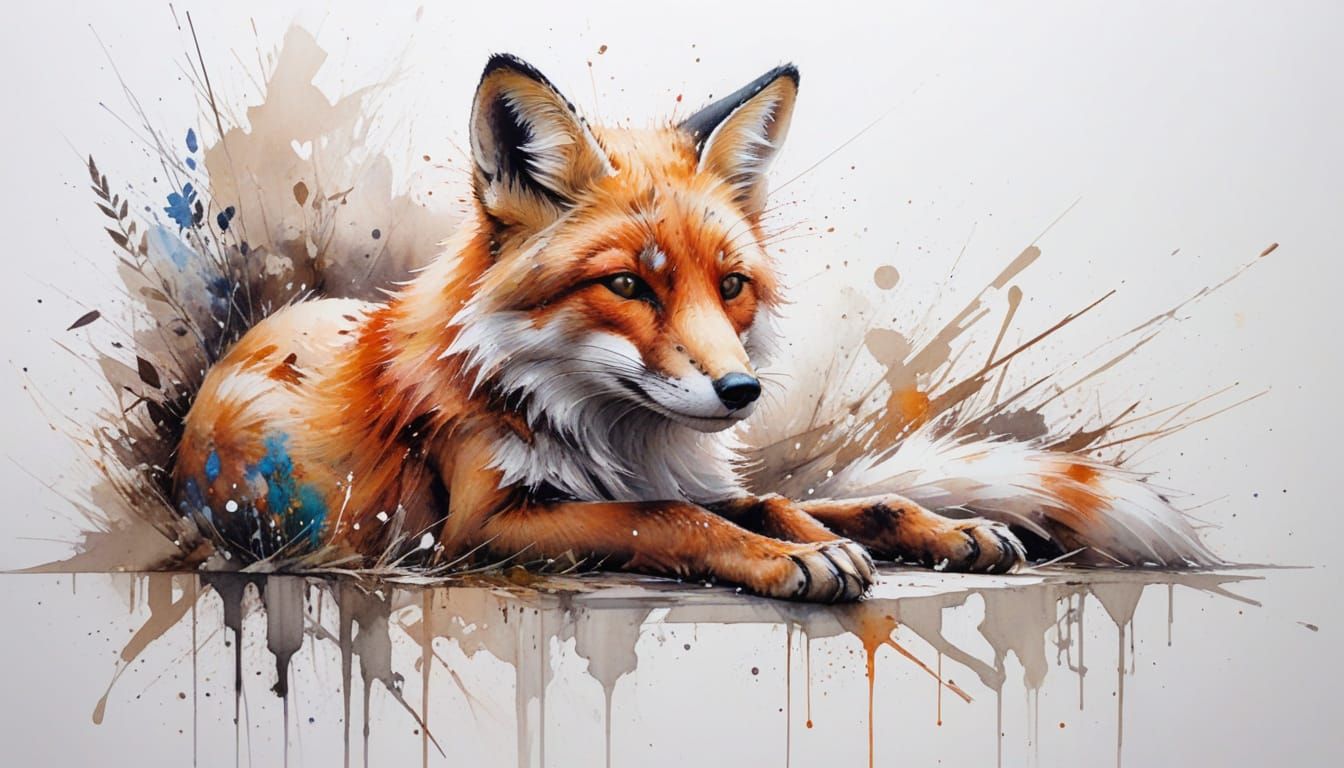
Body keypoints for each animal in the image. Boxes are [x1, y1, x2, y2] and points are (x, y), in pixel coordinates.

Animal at [172, 55, 1215, 602]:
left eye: (733, 286)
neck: (604, 430)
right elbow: (668, 518)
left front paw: (931, 531)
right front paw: (796, 559)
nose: (740, 389)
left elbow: (796, 503)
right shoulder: (482, 525)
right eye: (628, 284)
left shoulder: (687, 472)